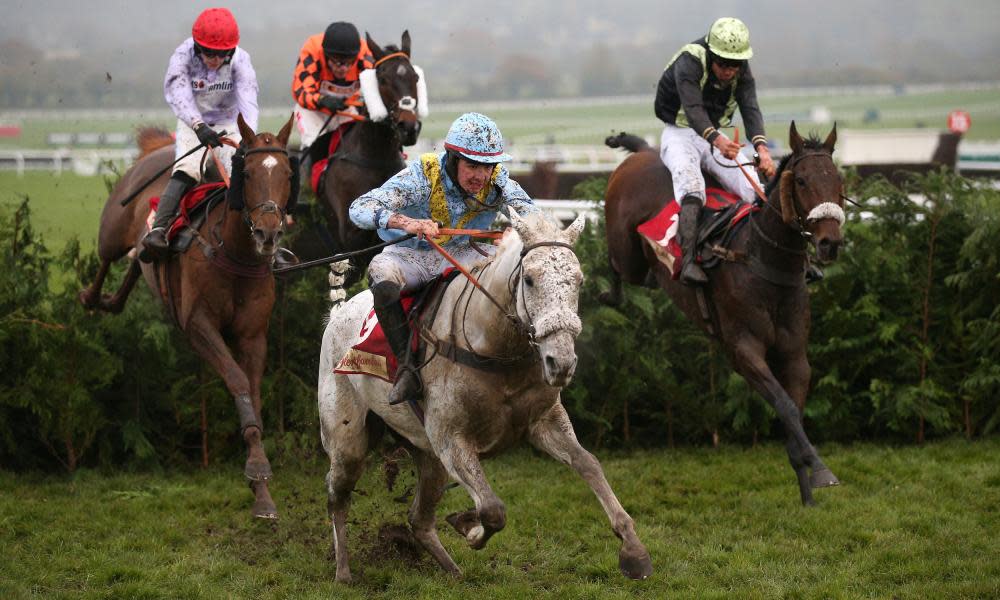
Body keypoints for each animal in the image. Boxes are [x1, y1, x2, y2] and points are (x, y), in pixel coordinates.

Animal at [80, 115, 294, 516]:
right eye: (248, 171)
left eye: (288, 173)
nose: (268, 234)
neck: (234, 254)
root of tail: (158, 146)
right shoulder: (197, 325)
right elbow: (238, 381)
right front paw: (258, 469)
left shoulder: (253, 334)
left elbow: (254, 393)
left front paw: (262, 490)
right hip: (112, 228)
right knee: (107, 257)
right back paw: (93, 297)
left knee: (138, 261)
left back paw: (116, 296)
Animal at [316, 211, 652, 580]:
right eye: (530, 280)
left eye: (577, 280)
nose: (561, 362)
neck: (494, 348)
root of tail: (338, 314)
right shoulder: (452, 440)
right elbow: (492, 509)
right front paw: (470, 528)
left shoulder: (545, 422)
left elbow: (589, 464)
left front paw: (633, 550)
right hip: (348, 443)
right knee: (337, 497)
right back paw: (343, 572)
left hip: (429, 458)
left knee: (419, 519)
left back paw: (453, 572)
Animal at [600, 122, 844, 506]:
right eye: (802, 181)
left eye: (838, 179)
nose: (829, 242)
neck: (761, 261)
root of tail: (645, 152)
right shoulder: (743, 351)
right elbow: (786, 406)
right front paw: (820, 469)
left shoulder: (795, 355)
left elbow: (793, 411)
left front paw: (807, 493)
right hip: (628, 253)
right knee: (614, 264)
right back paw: (610, 293)